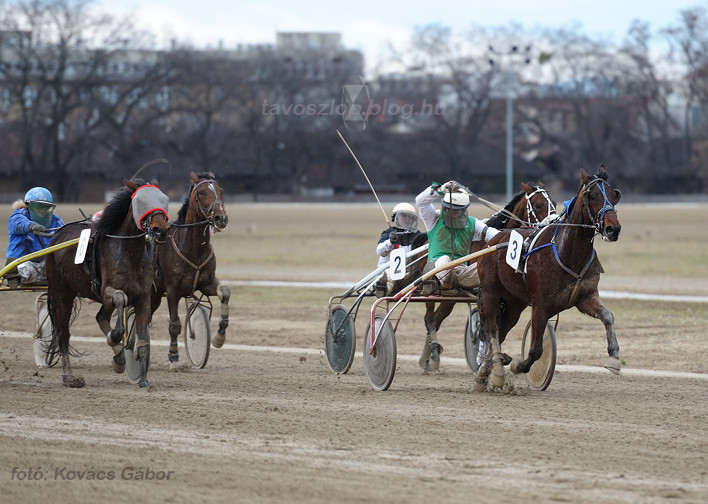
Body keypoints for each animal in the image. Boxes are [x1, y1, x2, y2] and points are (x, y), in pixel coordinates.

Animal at [45, 179, 170, 388]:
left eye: (163, 199)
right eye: (141, 201)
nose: (161, 230)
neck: (129, 251)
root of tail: (56, 237)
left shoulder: (143, 298)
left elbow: (143, 341)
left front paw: (143, 379)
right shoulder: (105, 291)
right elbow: (121, 298)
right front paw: (116, 336)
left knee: (99, 317)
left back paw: (119, 358)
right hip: (61, 294)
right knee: (63, 334)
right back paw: (70, 377)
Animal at [151, 171, 231, 368]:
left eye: (221, 190)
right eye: (201, 192)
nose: (221, 218)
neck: (192, 248)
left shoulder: (207, 283)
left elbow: (225, 292)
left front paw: (219, 336)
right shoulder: (172, 291)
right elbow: (175, 324)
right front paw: (173, 357)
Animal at [418, 181, 556, 370]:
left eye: (554, 203)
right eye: (538, 205)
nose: (556, 222)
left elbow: (500, 328)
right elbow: (488, 327)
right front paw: (484, 360)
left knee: (436, 319)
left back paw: (429, 356)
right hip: (434, 289)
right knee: (430, 319)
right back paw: (431, 353)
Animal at [476, 165, 620, 390]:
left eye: (614, 195)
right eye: (593, 196)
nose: (613, 229)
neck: (566, 252)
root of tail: (494, 240)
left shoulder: (585, 298)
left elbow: (607, 316)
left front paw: (613, 356)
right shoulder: (540, 306)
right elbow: (535, 349)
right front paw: (518, 365)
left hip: (514, 303)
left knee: (501, 331)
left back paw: (487, 370)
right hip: (490, 292)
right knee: (491, 329)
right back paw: (493, 370)